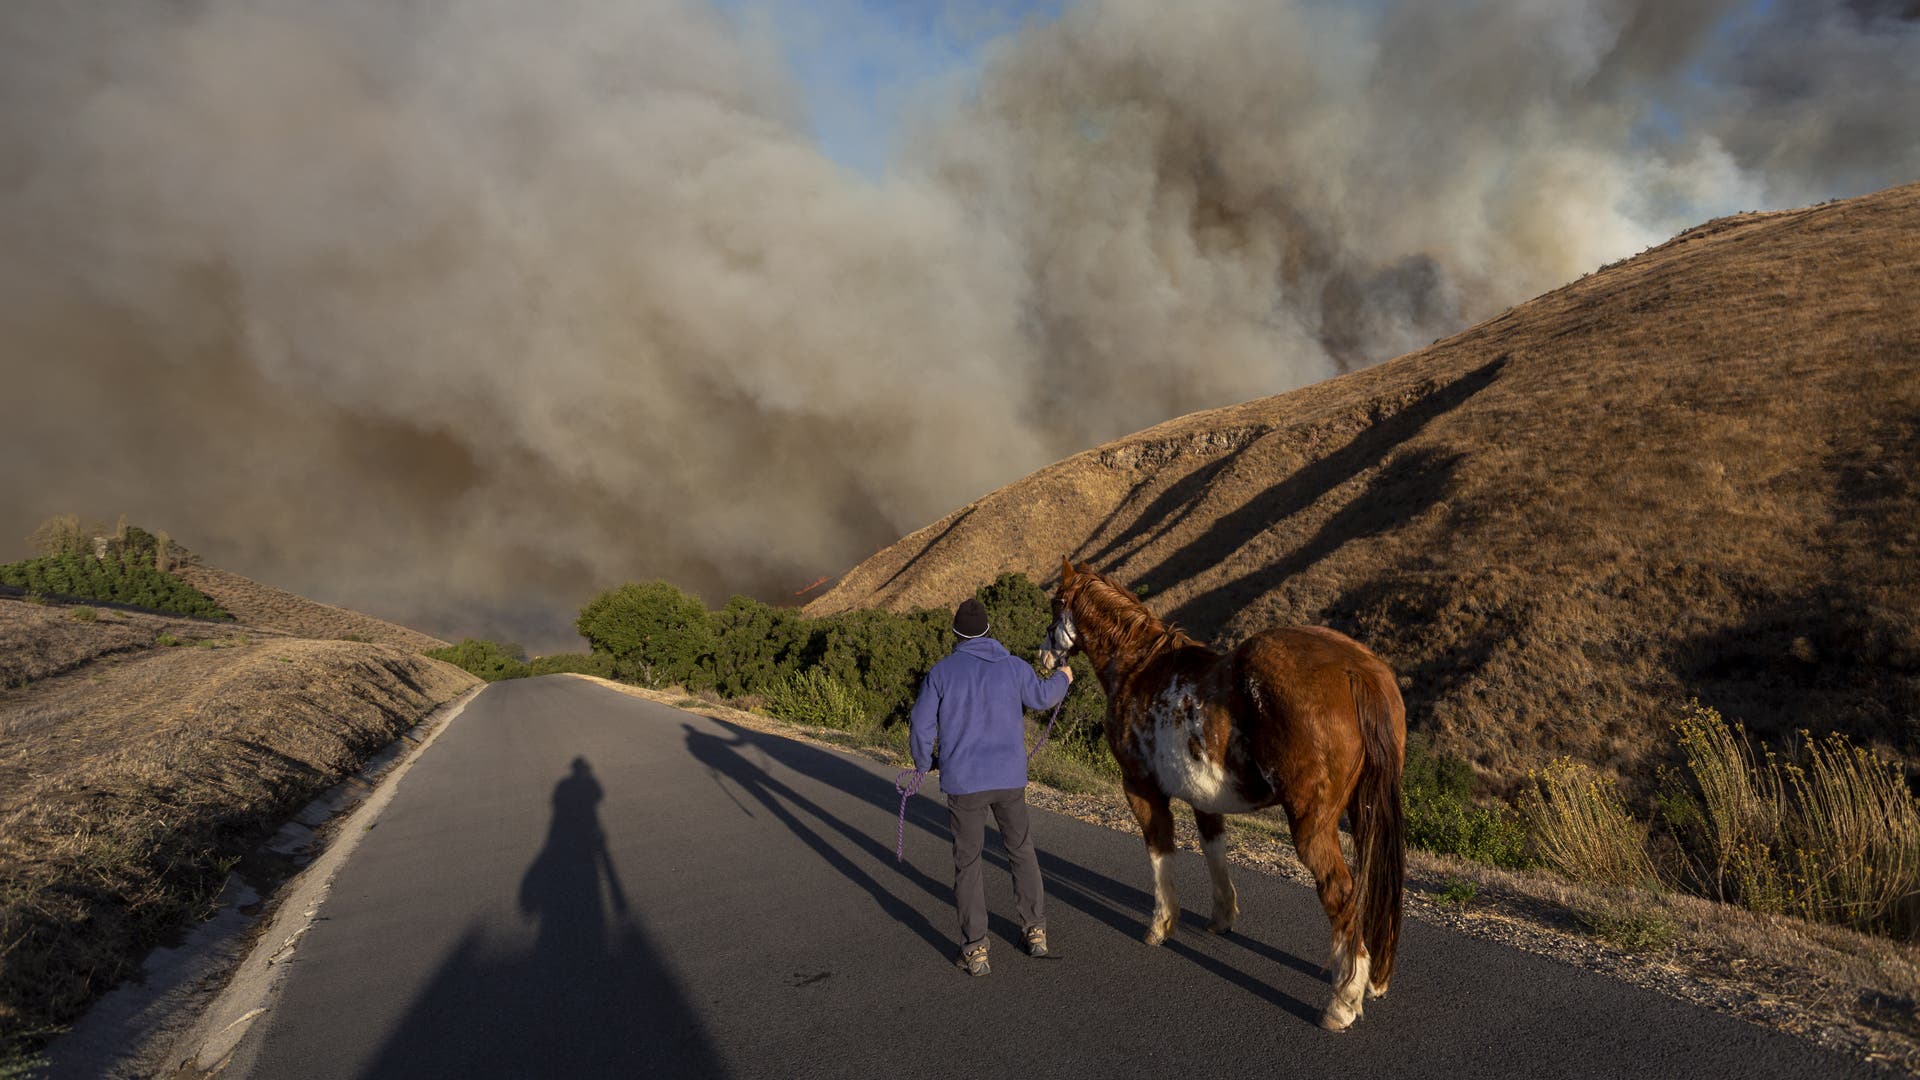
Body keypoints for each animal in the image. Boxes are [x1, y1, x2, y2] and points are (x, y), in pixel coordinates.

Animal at [1036, 557, 1413, 1022]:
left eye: (1056, 602)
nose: (1045, 655)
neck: (1140, 669)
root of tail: (1356, 669)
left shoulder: (1140, 788)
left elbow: (1160, 852)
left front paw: (1160, 925)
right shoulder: (1204, 796)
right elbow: (1214, 850)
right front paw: (1221, 917)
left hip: (1312, 825)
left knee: (1340, 894)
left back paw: (1341, 1004)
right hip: (1366, 812)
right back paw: (1370, 981)